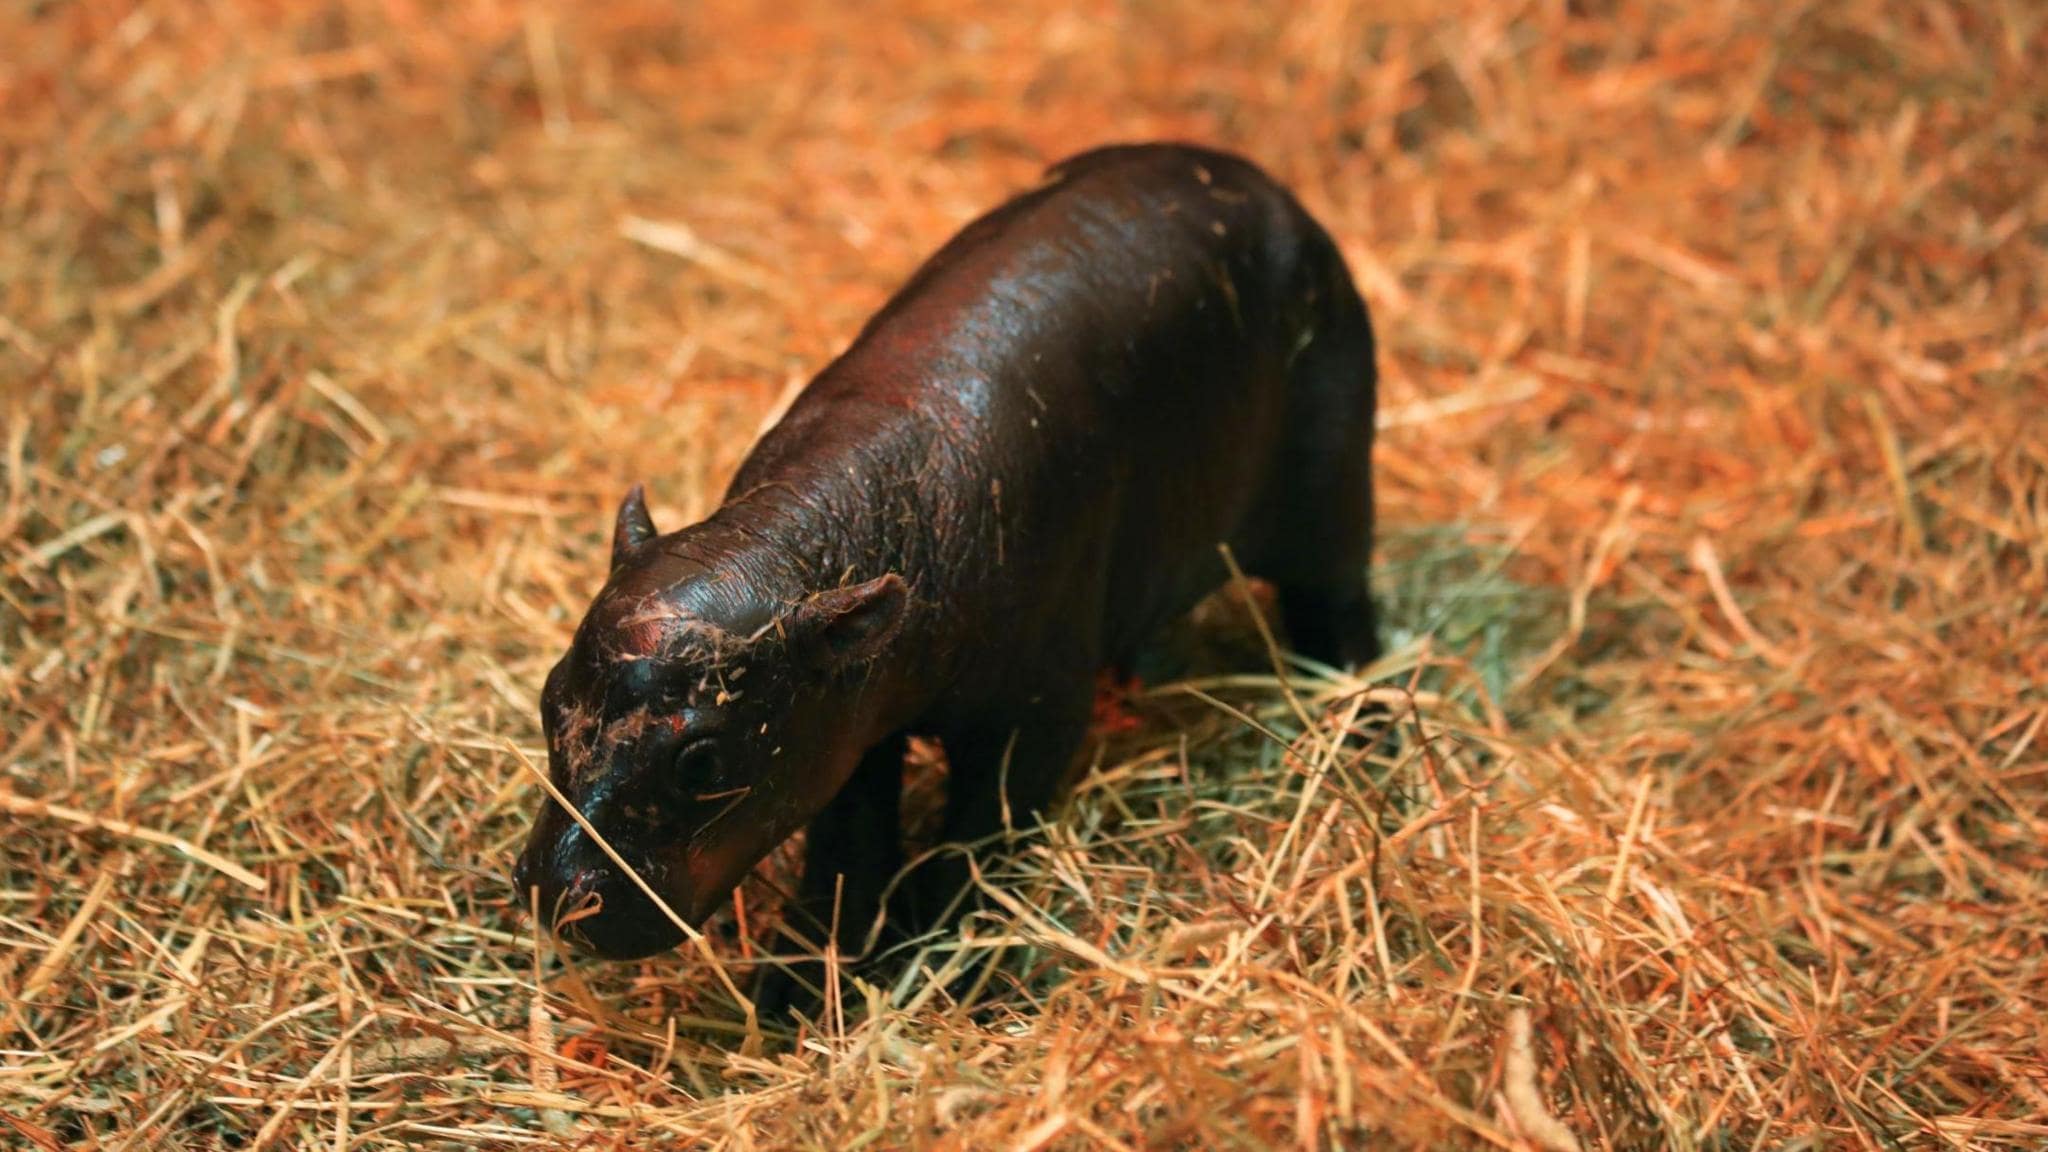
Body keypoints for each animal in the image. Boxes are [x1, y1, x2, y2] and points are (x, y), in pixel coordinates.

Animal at [509, 141, 1376, 988]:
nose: (556, 895)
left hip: (1332, 496)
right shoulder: (848, 720)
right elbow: (847, 847)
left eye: (701, 759)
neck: (792, 545)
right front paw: (800, 985)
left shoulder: (1033, 714)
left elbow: (976, 837)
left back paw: (1362, 725)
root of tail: (1266, 184)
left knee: (1341, 608)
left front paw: (933, 965)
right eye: (550, 698)